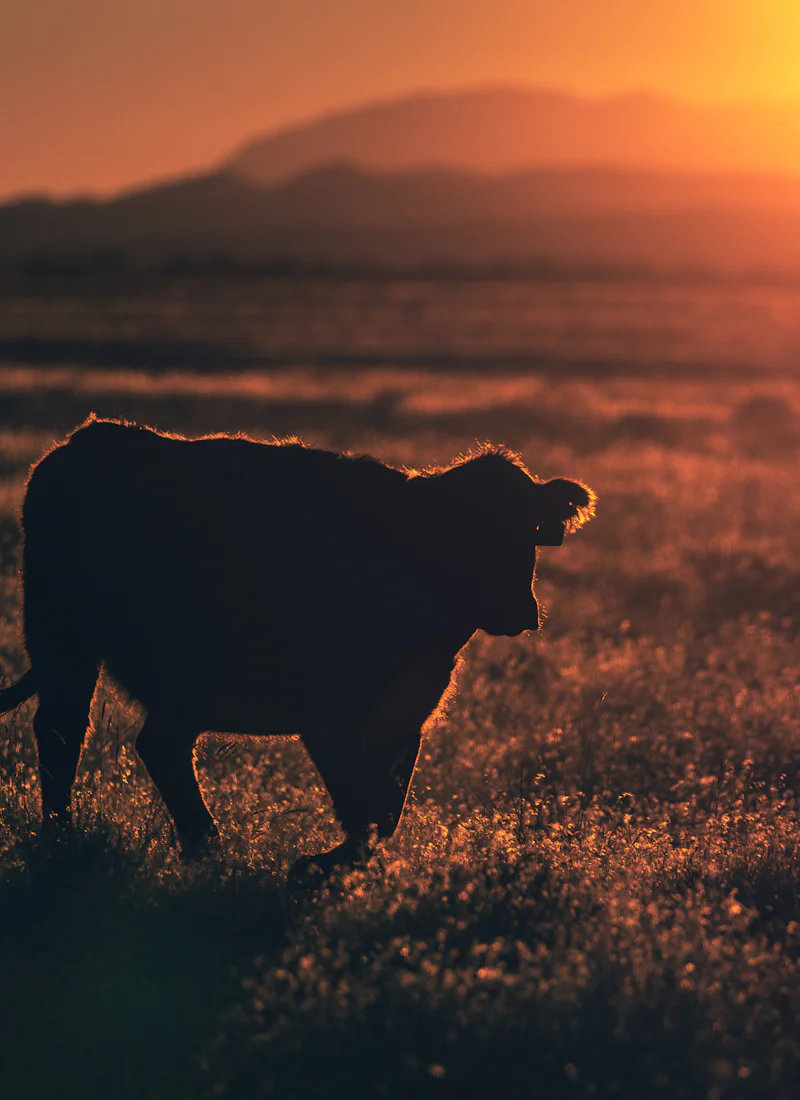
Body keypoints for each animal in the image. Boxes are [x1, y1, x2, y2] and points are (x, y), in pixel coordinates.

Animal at [0, 417, 595, 877]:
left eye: (529, 532)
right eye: (465, 534)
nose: (520, 610)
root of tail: (88, 438)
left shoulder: (408, 715)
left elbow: (386, 809)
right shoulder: (328, 715)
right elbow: (361, 808)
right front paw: (318, 867)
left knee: (158, 745)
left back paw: (203, 844)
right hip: (64, 643)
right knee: (62, 730)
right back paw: (63, 837)